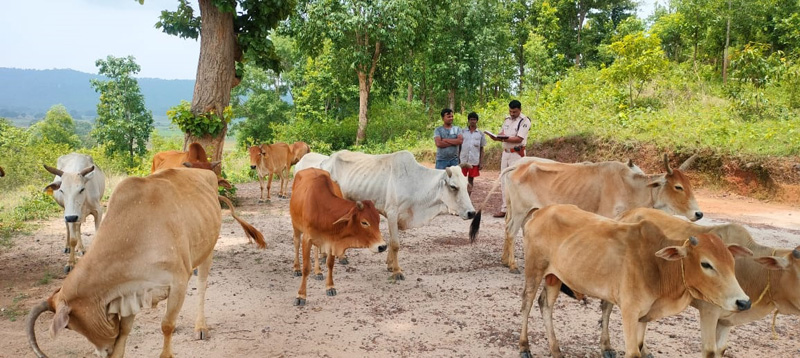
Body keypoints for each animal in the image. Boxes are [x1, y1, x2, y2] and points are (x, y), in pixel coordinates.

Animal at [25, 168, 266, 358]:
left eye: (69, 326)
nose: (102, 352)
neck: (135, 235)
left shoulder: (178, 282)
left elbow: (166, 326)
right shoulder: (130, 290)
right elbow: (124, 331)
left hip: (207, 250)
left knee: (202, 287)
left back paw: (200, 326)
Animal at [290, 168, 388, 304]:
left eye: (378, 220)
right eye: (364, 222)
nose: (382, 246)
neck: (323, 210)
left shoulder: (332, 240)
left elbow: (330, 264)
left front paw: (330, 287)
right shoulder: (307, 238)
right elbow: (306, 268)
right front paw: (301, 295)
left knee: (315, 249)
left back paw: (318, 271)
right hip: (296, 226)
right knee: (296, 243)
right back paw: (296, 269)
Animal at [320, 150, 476, 282]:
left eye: (466, 185)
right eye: (453, 187)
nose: (472, 213)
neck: (415, 184)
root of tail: (326, 160)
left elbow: (390, 241)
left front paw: (390, 265)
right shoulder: (392, 213)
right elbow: (395, 244)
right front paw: (397, 272)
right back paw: (327, 256)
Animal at [472, 154, 704, 274]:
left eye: (689, 185)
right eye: (678, 187)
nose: (699, 213)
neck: (631, 186)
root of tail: (517, 166)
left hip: (522, 209)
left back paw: (505, 260)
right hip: (521, 209)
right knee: (511, 231)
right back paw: (512, 264)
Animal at [520, 204, 752, 358]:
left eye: (732, 262)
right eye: (706, 264)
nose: (744, 302)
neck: (659, 266)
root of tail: (542, 210)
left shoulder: (643, 317)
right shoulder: (629, 313)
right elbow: (633, 352)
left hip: (554, 277)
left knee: (545, 305)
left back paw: (556, 350)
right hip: (534, 269)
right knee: (527, 304)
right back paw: (524, 347)